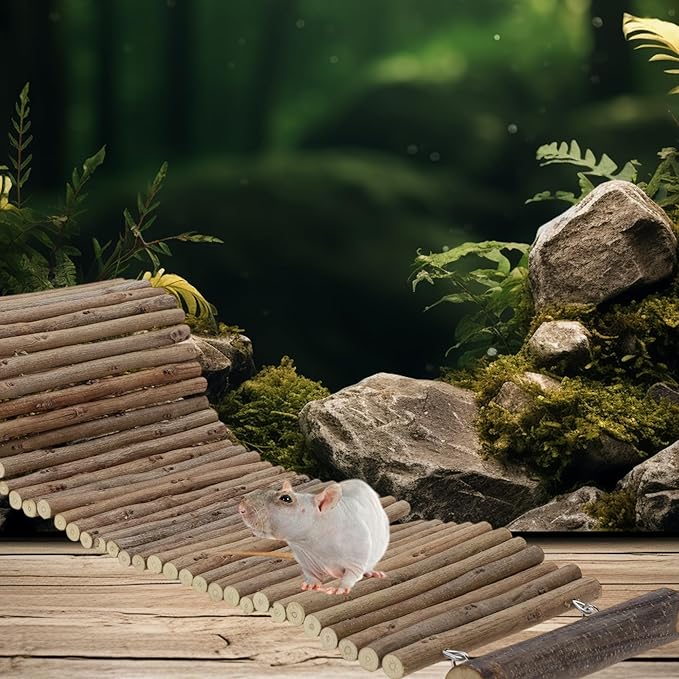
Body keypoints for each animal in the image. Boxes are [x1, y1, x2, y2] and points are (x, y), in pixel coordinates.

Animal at [238, 478, 390, 595]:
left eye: (286, 498)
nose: (241, 507)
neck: (311, 544)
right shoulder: (306, 559)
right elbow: (311, 574)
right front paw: (310, 584)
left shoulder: (358, 551)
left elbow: (353, 573)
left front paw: (341, 588)